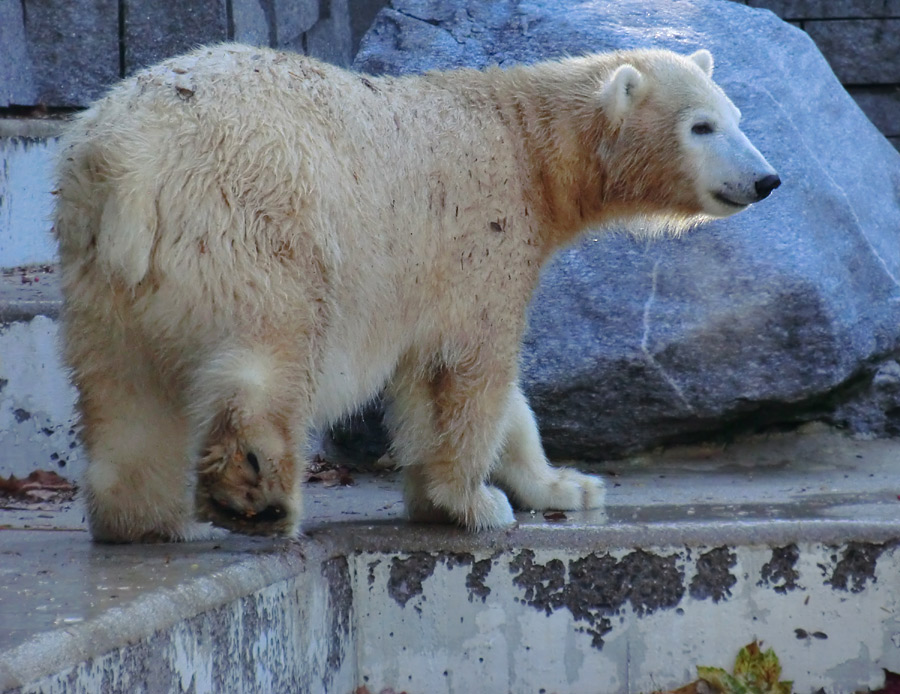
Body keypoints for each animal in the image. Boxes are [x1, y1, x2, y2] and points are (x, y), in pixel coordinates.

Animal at [52, 43, 776, 544]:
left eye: (737, 117)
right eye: (702, 126)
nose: (766, 179)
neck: (527, 145)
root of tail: (130, 164)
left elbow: (498, 397)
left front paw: (567, 486)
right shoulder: (479, 238)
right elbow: (468, 373)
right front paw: (471, 503)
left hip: (99, 269)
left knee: (124, 390)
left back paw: (142, 519)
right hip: (255, 226)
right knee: (269, 355)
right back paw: (257, 496)